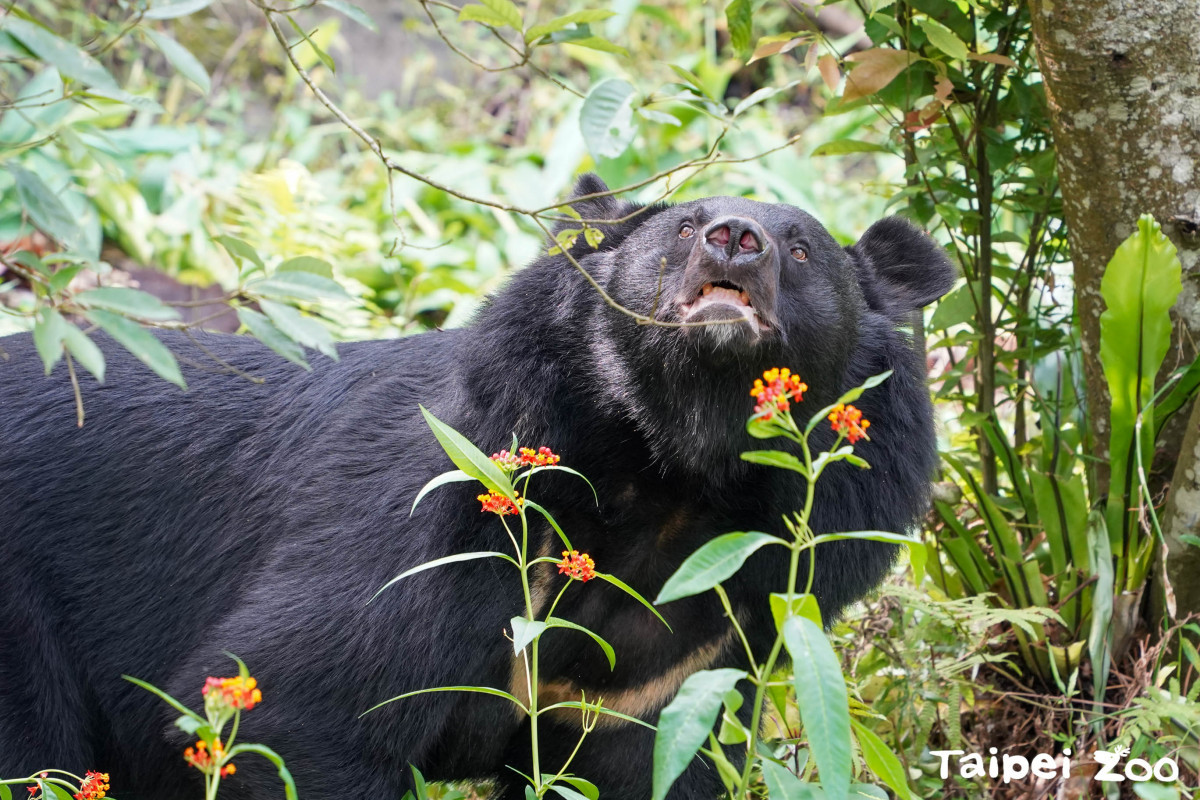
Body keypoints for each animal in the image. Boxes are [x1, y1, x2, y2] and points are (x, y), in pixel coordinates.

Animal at [0, 176, 955, 800]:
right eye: (684, 226)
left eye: (800, 246)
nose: (735, 239)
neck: (671, 474)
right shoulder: (447, 516)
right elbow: (297, 703)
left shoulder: (698, 650)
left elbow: (649, 768)